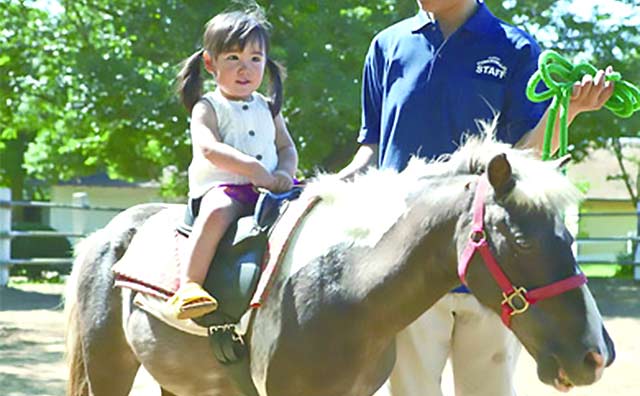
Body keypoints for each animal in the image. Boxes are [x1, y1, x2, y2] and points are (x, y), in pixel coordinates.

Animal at [63, 130, 616, 396]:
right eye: (521, 243)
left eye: (570, 237)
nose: (595, 355)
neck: (342, 289)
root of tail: (107, 236)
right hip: (109, 371)